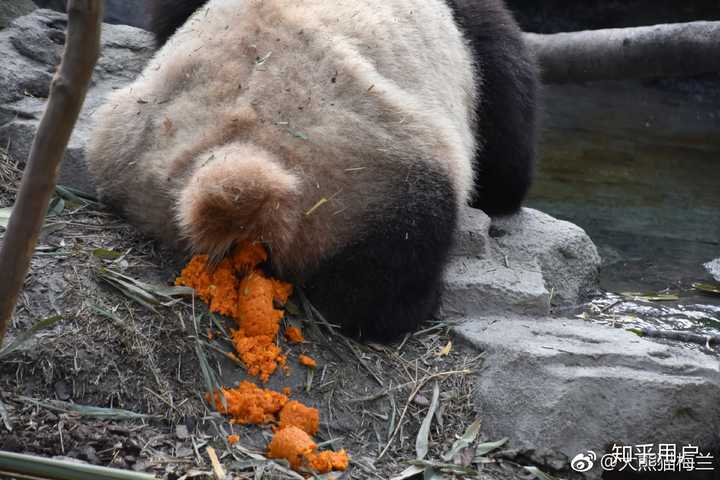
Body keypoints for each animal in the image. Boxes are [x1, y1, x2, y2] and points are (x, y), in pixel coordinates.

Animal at [84, 0, 536, 342]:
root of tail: (237, 150)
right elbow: (505, 142)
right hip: (369, 172)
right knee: (394, 256)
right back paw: (410, 307)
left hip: (130, 147)